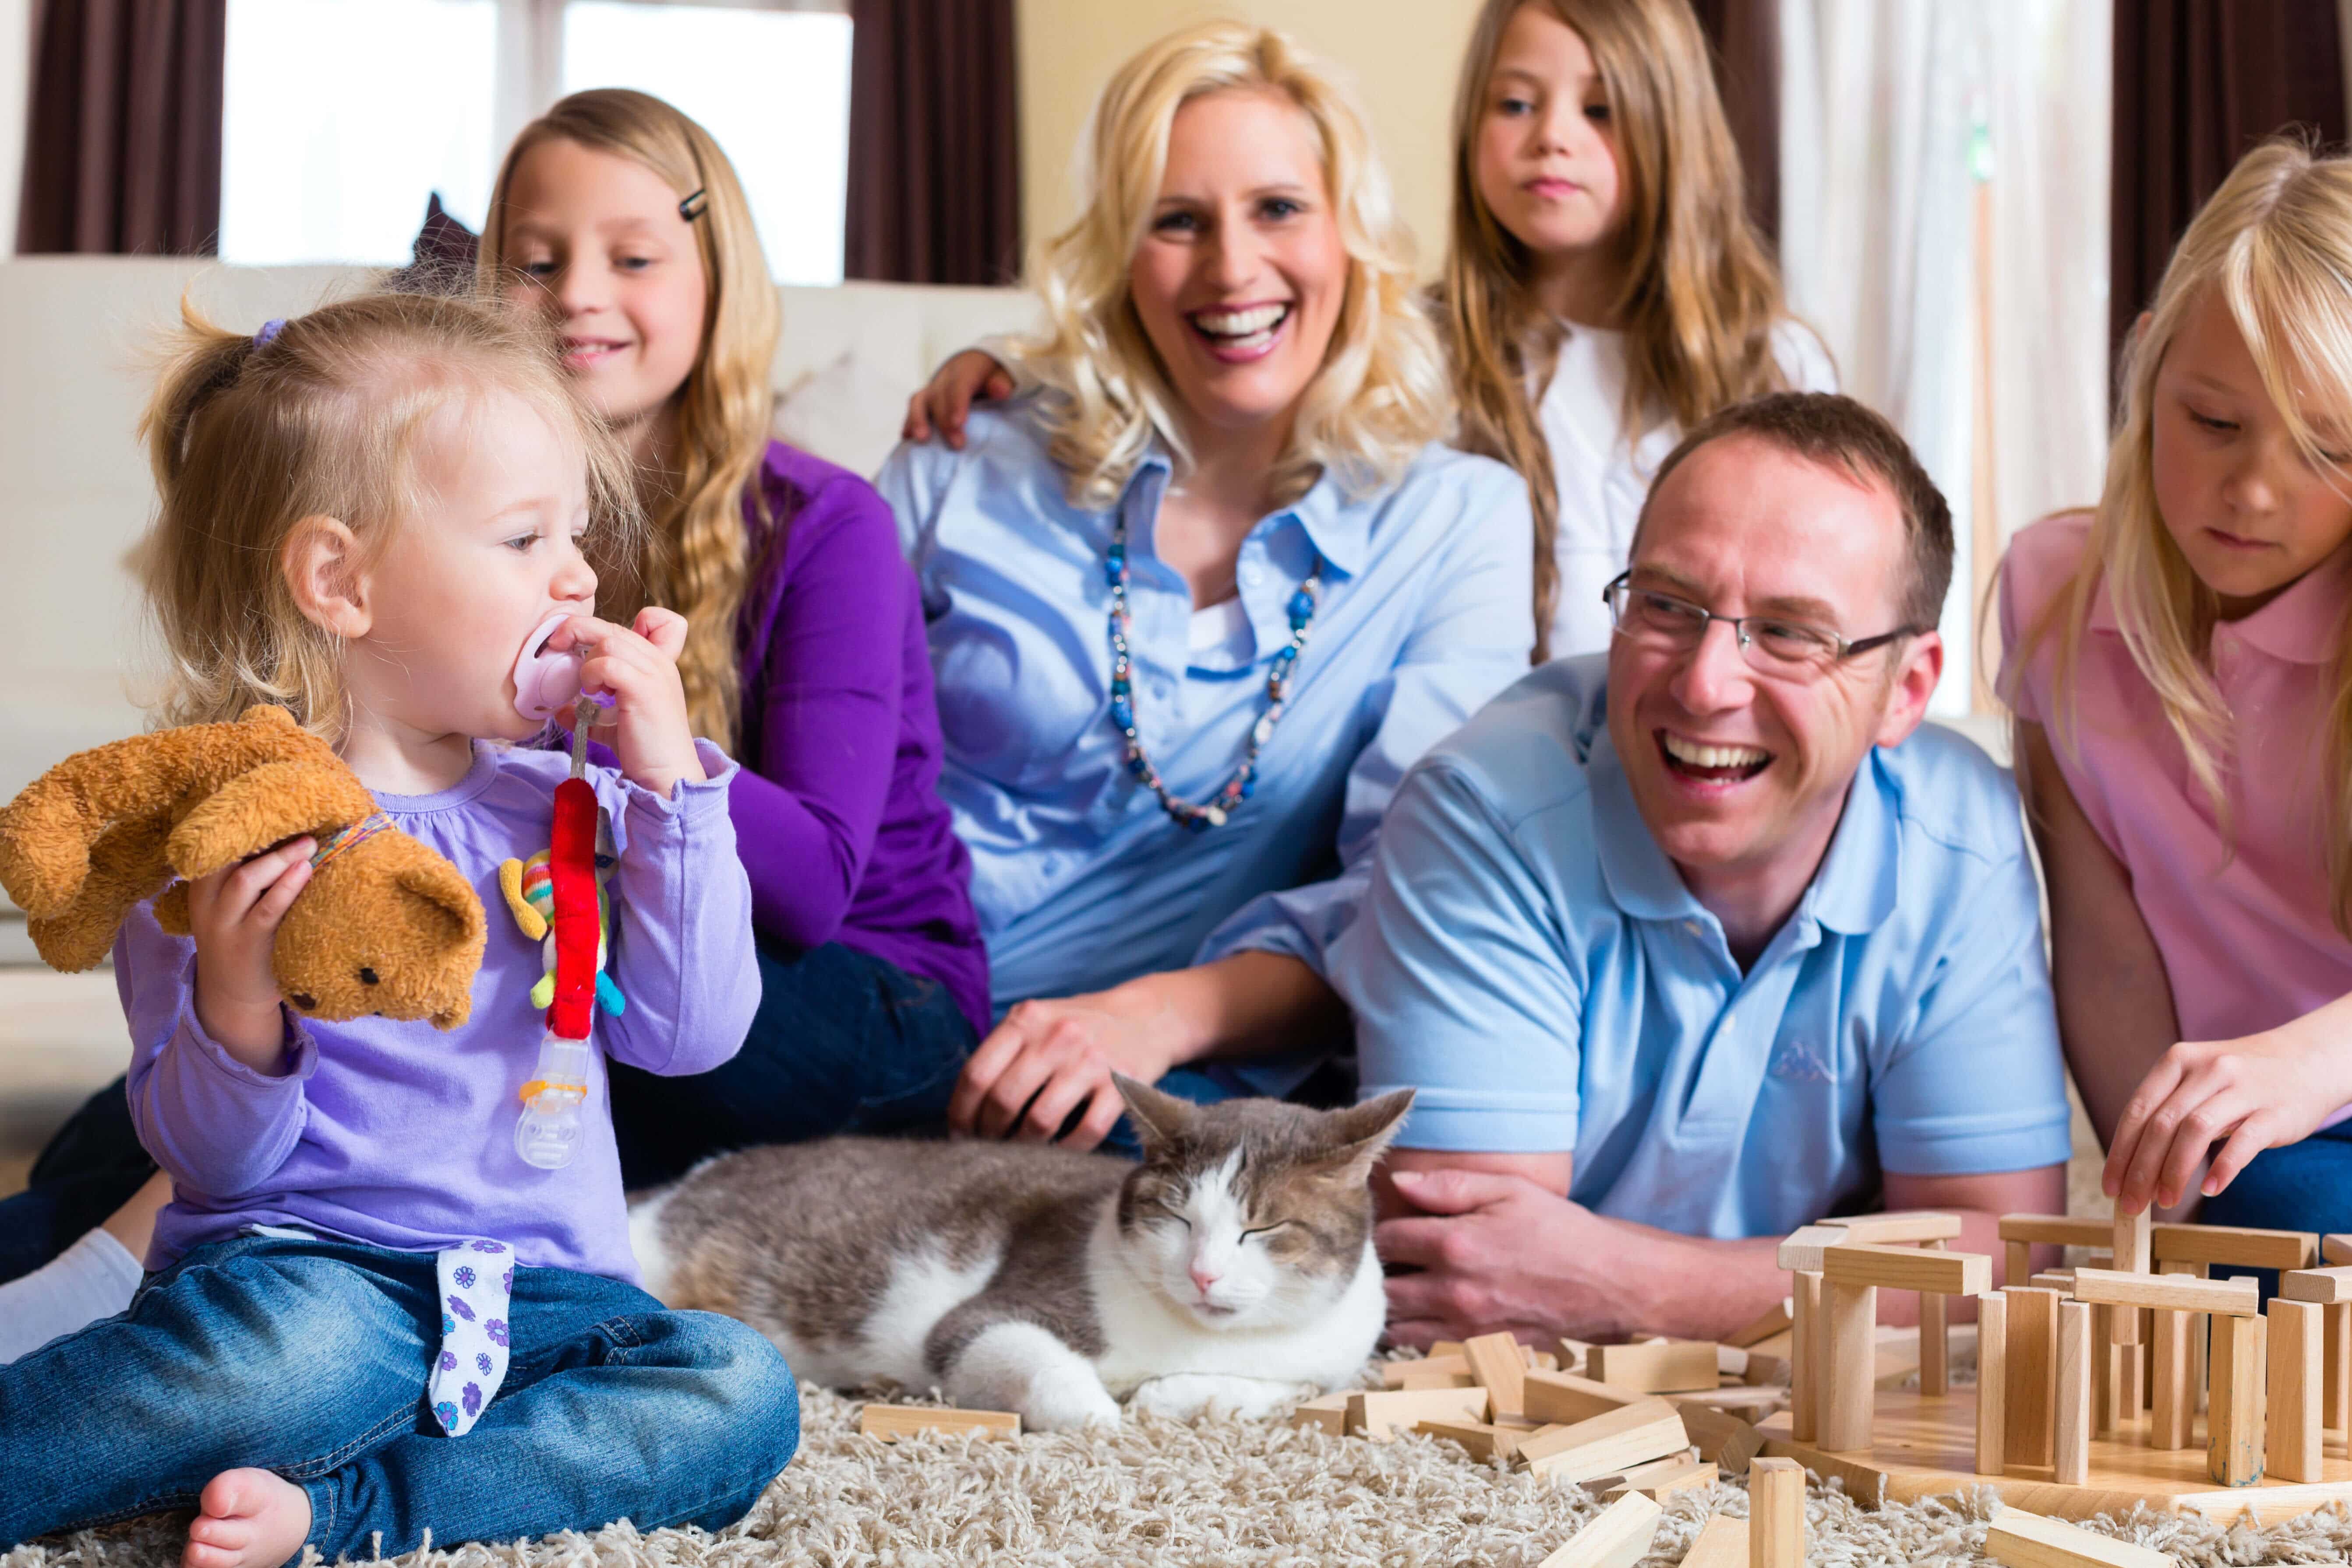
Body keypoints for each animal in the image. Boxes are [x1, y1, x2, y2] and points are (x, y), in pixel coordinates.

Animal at [616, 1081, 1411, 1438]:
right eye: (1177, 1215)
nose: (1203, 1273)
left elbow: (1282, 1388)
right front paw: (1107, 1417)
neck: (1197, 1334)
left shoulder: (1331, 1358)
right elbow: (1039, 1366)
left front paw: (1170, 1397)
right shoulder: (988, 1318)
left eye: (1262, 1228)